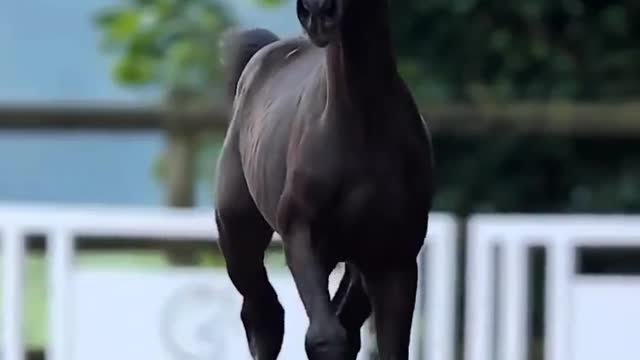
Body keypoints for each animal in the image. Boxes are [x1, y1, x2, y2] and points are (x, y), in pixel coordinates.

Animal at [215, 0, 436, 358]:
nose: (318, 13)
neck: (361, 123)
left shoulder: (395, 256)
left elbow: (386, 344)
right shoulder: (302, 233)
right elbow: (324, 338)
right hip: (237, 233)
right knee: (263, 314)